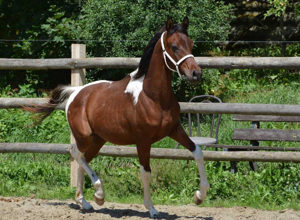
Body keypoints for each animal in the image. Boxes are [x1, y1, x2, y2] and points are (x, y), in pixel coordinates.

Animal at [24, 17, 209, 217]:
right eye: (174, 46)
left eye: (191, 44)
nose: (196, 74)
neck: (154, 97)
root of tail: (76, 92)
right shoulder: (143, 140)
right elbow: (146, 172)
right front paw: (151, 209)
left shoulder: (174, 130)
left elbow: (198, 152)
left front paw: (199, 196)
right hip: (85, 136)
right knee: (76, 154)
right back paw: (99, 194)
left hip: (98, 139)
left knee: (83, 159)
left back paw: (84, 201)